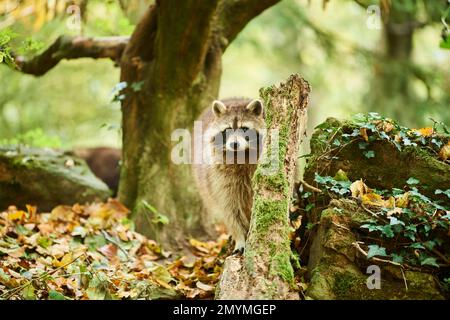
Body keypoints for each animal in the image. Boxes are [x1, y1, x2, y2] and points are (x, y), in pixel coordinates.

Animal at [192, 97, 266, 252]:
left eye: (244, 129)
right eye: (228, 130)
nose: (234, 144)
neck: (241, 155)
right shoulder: (219, 178)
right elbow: (230, 209)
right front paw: (240, 237)